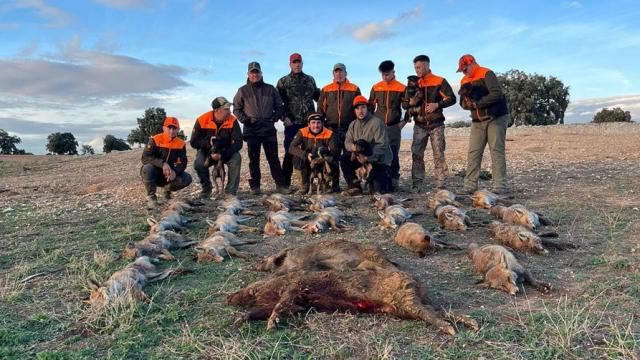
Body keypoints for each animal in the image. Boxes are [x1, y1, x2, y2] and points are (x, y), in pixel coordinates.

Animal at [228, 268, 478, 336]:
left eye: (251, 287)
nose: (228, 297)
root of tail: (415, 282)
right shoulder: (298, 305)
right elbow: (266, 310)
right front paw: (238, 323)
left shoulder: (295, 288)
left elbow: (279, 306)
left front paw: (271, 326)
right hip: (406, 305)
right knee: (440, 310)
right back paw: (472, 324)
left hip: (405, 300)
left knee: (433, 314)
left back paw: (451, 331)